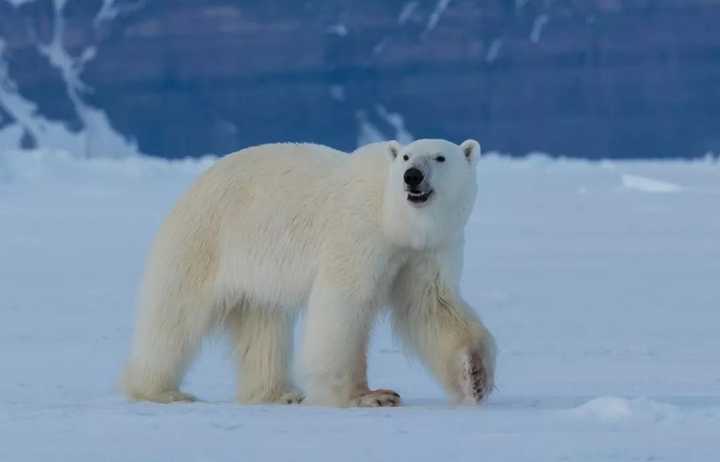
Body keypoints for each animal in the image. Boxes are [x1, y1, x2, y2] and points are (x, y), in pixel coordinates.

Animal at [122, 139, 496, 406]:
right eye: (406, 157)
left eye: (440, 157)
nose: (412, 177)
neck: (395, 219)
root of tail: (191, 189)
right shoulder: (359, 233)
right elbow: (343, 304)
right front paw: (366, 396)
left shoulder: (426, 251)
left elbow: (431, 305)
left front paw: (476, 376)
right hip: (204, 241)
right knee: (175, 317)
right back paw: (160, 391)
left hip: (257, 272)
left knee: (264, 324)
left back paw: (278, 392)